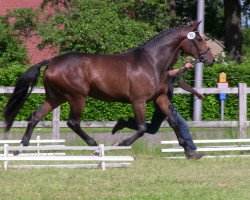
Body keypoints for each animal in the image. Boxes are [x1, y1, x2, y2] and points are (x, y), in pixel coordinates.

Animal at [2, 20, 215, 148]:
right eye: (198, 38)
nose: (211, 59)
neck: (152, 62)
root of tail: (52, 61)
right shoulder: (138, 101)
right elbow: (141, 128)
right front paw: (121, 142)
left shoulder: (161, 98)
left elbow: (173, 122)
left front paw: (189, 150)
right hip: (77, 97)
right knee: (73, 122)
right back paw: (94, 144)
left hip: (56, 97)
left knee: (35, 116)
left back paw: (23, 146)